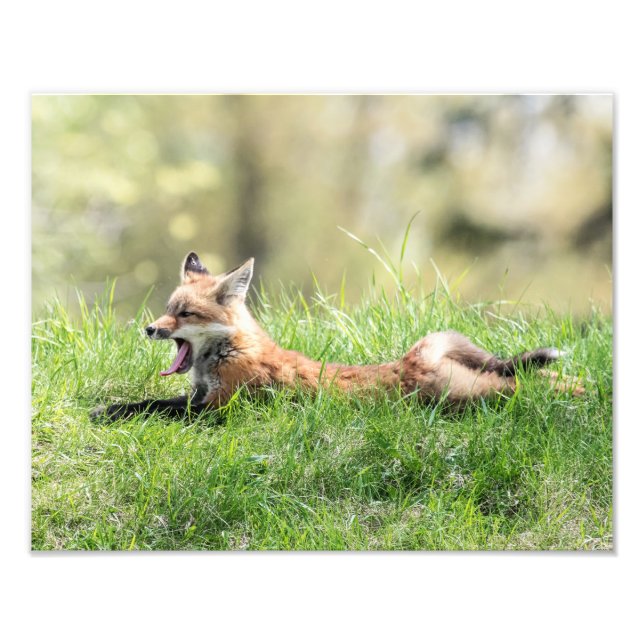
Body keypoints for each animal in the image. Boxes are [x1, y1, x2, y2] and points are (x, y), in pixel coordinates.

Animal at [91, 252, 584, 422]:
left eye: (185, 314)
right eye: (166, 309)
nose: (149, 328)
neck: (227, 353)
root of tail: (410, 360)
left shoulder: (219, 409)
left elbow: (156, 409)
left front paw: (110, 413)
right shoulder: (197, 398)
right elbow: (146, 402)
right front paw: (110, 408)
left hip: (469, 395)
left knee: (521, 384)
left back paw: (578, 391)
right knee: (524, 377)